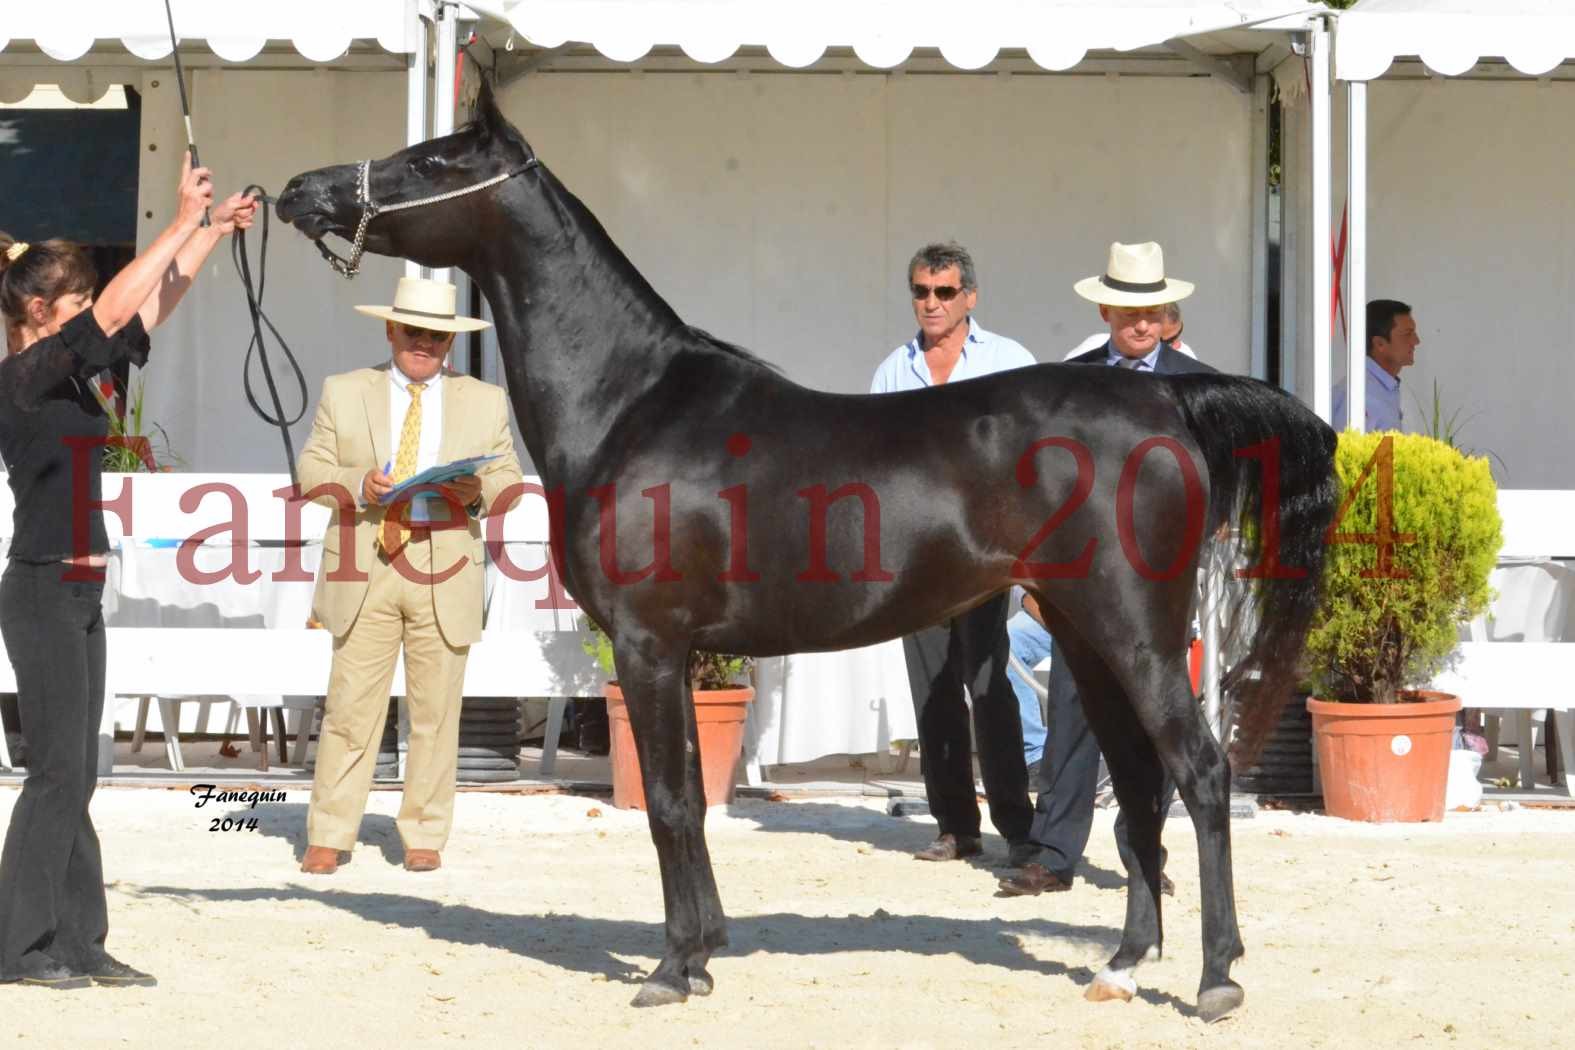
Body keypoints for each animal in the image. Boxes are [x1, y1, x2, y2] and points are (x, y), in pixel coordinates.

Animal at [277, 86, 1335, 1020]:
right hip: (1085, 633)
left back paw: (1214, 980)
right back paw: (1120, 965)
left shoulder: (649, 645)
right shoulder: (669, 654)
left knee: (1200, 774)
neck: (630, 401)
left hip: (1136, 634)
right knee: (1141, 787)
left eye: (432, 163)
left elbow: (671, 804)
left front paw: (673, 968)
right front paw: (703, 951)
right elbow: (686, 799)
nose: (299, 191)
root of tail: (1161, 395)